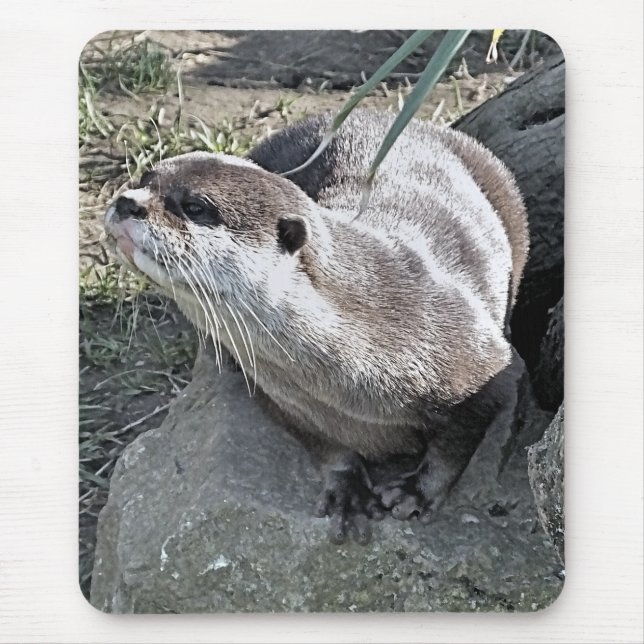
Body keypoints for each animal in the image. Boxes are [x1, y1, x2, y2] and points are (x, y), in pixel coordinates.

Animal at [104, 110, 529, 544]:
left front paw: (417, 492)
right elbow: (323, 445)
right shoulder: (283, 399)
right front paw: (347, 489)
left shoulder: (482, 363)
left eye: (194, 206)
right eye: (145, 177)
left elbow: (460, 440)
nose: (127, 201)